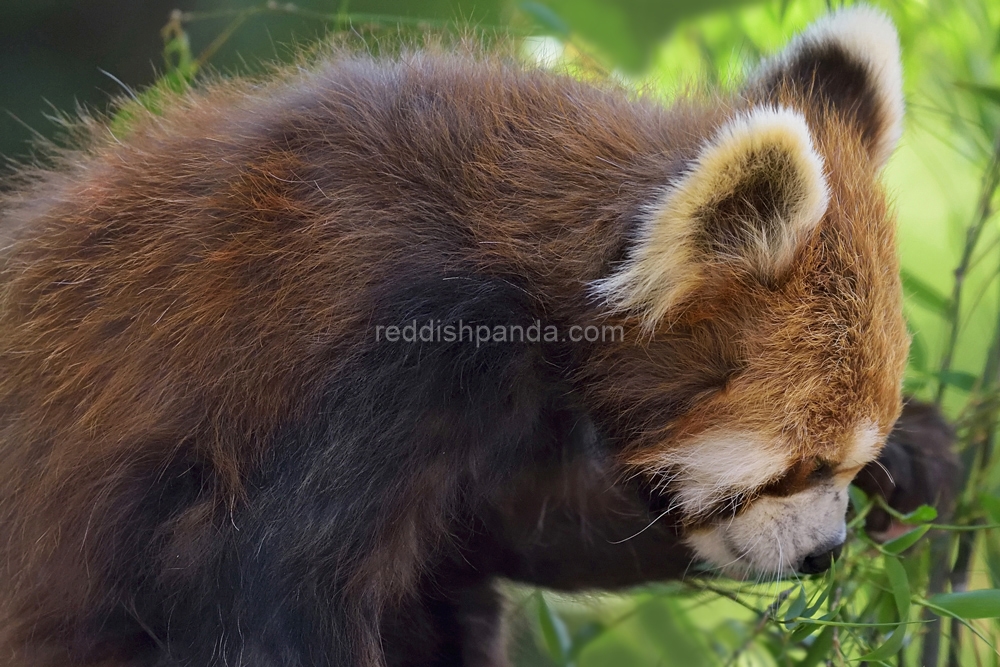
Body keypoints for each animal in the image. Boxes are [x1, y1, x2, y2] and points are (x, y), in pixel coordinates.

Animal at [0, 6, 908, 667]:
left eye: (850, 462)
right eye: (800, 466)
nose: (825, 551)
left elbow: (517, 521)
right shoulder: (389, 354)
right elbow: (266, 596)